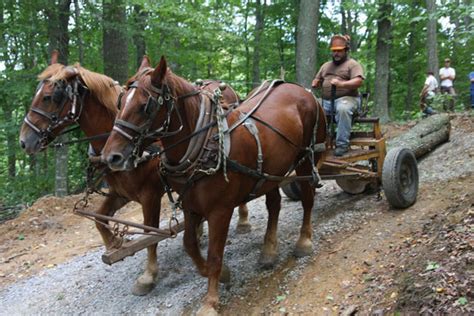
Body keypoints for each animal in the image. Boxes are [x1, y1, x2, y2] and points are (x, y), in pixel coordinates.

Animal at [17, 53, 252, 296]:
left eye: (50, 97)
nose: (24, 141)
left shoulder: (150, 196)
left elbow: (150, 235)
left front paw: (148, 275)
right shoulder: (121, 193)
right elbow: (100, 219)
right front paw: (115, 243)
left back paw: (242, 221)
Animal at [102, 56, 328, 314]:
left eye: (144, 106)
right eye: (120, 102)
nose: (110, 157)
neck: (205, 143)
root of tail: (301, 89)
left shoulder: (220, 210)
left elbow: (214, 255)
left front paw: (210, 301)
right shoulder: (190, 205)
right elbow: (190, 245)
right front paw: (223, 275)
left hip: (306, 158)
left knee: (308, 198)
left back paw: (304, 241)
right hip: (271, 173)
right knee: (274, 205)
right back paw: (269, 251)